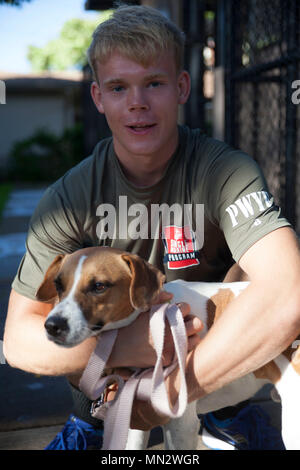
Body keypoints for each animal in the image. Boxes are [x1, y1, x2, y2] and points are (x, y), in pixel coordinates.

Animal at [36, 246, 300, 448]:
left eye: (99, 286)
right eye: (58, 285)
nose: (52, 326)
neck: (156, 317)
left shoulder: (181, 425)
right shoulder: (131, 417)